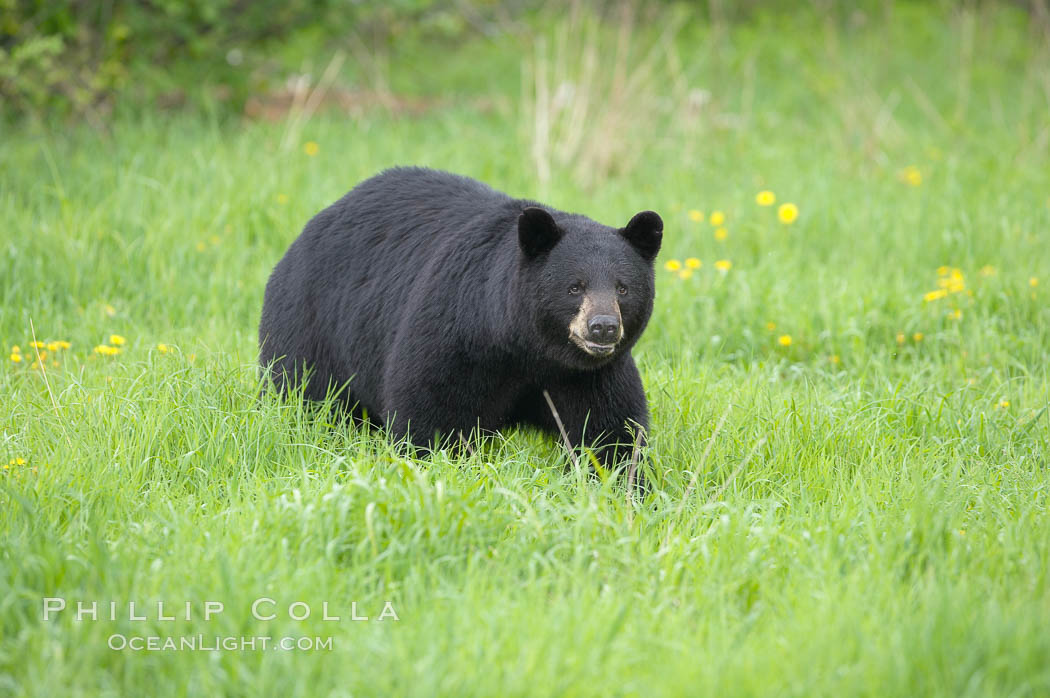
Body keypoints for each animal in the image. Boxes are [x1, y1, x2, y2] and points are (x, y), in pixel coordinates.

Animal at [258, 168, 659, 484]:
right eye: (575, 286)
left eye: (622, 288)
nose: (603, 327)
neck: (529, 349)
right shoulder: (456, 336)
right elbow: (433, 413)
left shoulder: (588, 376)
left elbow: (610, 431)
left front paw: (626, 490)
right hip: (311, 326)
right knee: (304, 396)